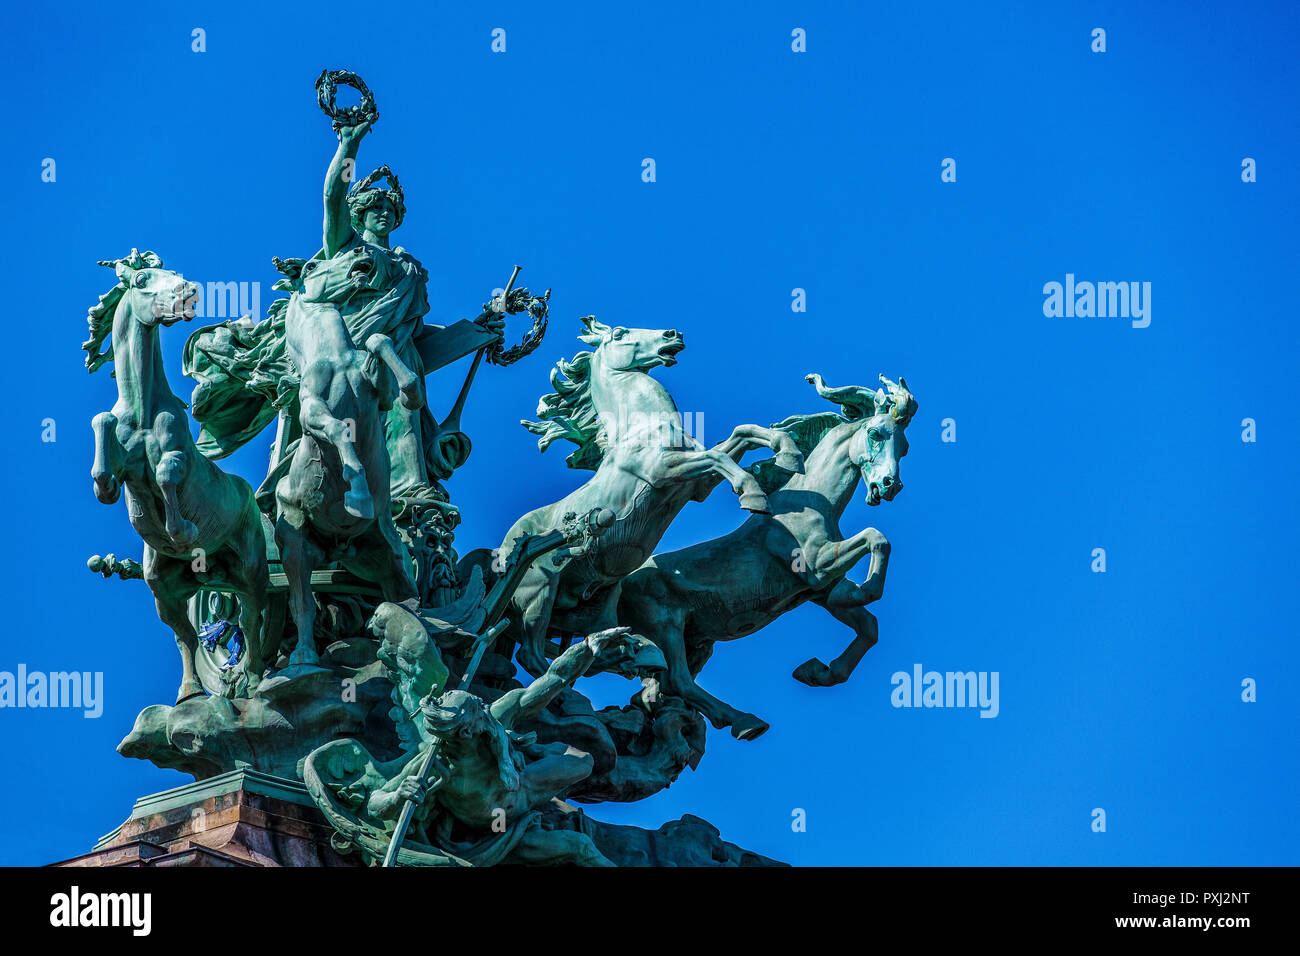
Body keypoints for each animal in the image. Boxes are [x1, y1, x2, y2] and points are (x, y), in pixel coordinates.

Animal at [83, 251, 266, 702]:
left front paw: (182, 530)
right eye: (143, 279)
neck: (143, 410)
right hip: (164, 588)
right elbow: (101, 428)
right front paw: (106, 486)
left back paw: (254, 679)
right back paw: (189, 693)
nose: (188, 291)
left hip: (252, 570)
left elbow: (167, 471)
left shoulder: (180, 455)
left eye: (173, 273)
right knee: (185, 636)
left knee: (252, 621)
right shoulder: (120, 455)